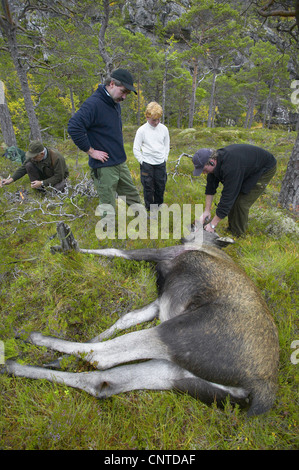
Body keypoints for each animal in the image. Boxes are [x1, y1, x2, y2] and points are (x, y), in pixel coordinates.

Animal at [4, 222, 280, 416]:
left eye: (210, 227)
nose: (195, 221)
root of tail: (262, 389)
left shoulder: (163, 254)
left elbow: (116, 250)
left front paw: (68, 246)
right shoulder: (160, 303)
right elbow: (126, 317)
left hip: (175, 334)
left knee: (100, 357)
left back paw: (30, 337)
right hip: (179, 374)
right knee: (103, 381)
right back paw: (13, 365)